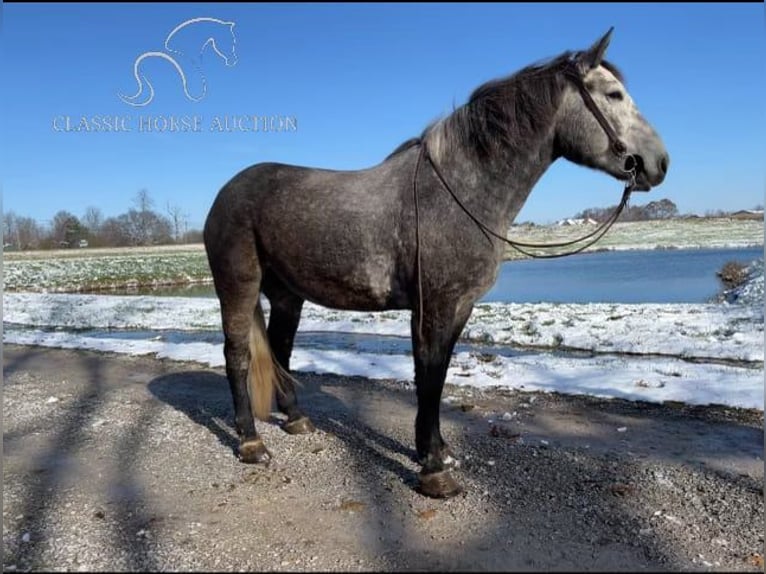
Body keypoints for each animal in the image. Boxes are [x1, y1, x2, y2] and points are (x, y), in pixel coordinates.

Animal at [206, 30, 672, 500]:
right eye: (613, 94)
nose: (660, 163)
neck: (457, 193)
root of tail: (225, 193)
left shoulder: (459, 307)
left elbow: (439, 375)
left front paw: (437, 449)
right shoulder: (434, 307)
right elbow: (428, 378)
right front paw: (433, 470)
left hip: (288, 295)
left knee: (280, 348)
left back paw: (296, 419)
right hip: (238, 286)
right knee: (237, 354)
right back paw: (250, 442)